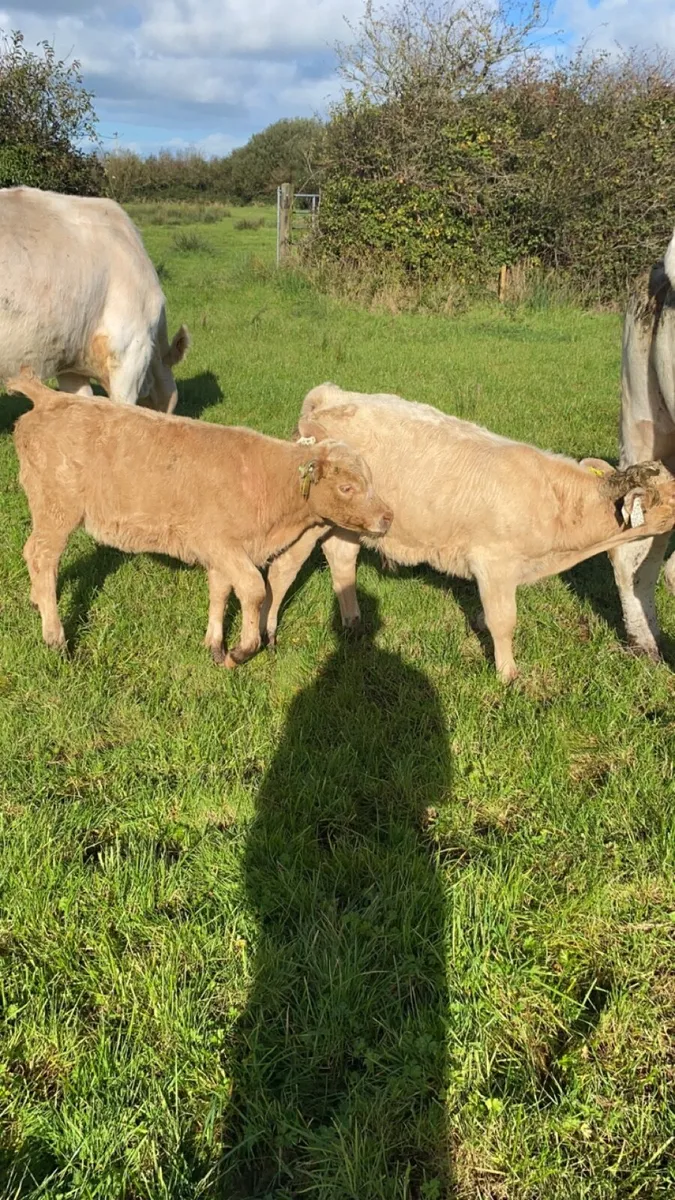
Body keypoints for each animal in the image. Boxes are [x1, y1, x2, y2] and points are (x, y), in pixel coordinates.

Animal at [8, 370, 392, 667]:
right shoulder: (220, 543)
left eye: (370, 479)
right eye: (346, 487)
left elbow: (220, 591)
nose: (387, 517)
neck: (268, 482)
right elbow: (254, 589)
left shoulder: (223, 554)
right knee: (42, 556)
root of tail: (50, 398)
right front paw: (241, 650)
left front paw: (215, 645)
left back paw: (37, 601)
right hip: (57, 509)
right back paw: (55, 638)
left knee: (34, 555)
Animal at [262, 384, 675, 681]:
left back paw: (353, 623)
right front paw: (508, 675)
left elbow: (488, 615)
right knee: (282, 571)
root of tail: (329, 395)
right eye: (672, 498)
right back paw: (270, 637)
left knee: (342, 561)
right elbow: (504, 621)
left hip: (347, 525)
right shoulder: (494, 562)